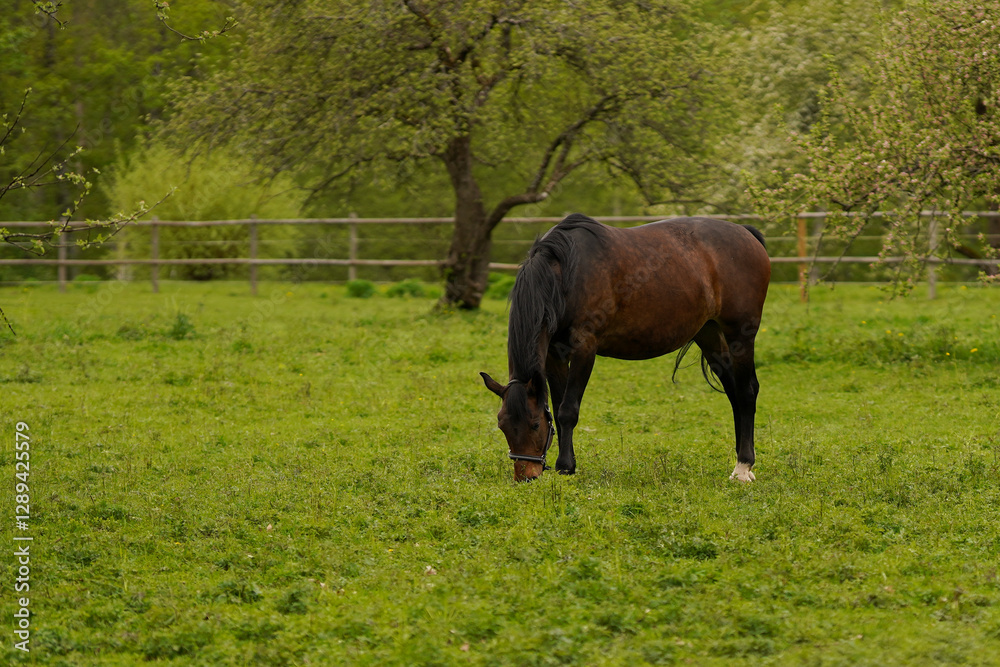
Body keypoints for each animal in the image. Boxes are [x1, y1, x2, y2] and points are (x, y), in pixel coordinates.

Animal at [481, 213, 770, 482]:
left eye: (534, 424)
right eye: (502, 425)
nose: (526, 476)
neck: (564, 274)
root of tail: (747, 233)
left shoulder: (584, 348)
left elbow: (567, 410)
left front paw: (564, 465)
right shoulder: (554, 355)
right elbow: (558, 405)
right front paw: (569, 466)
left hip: (741, 334)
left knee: (746, 391)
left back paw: (743, 465)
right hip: (709, 333)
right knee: (733, 391)